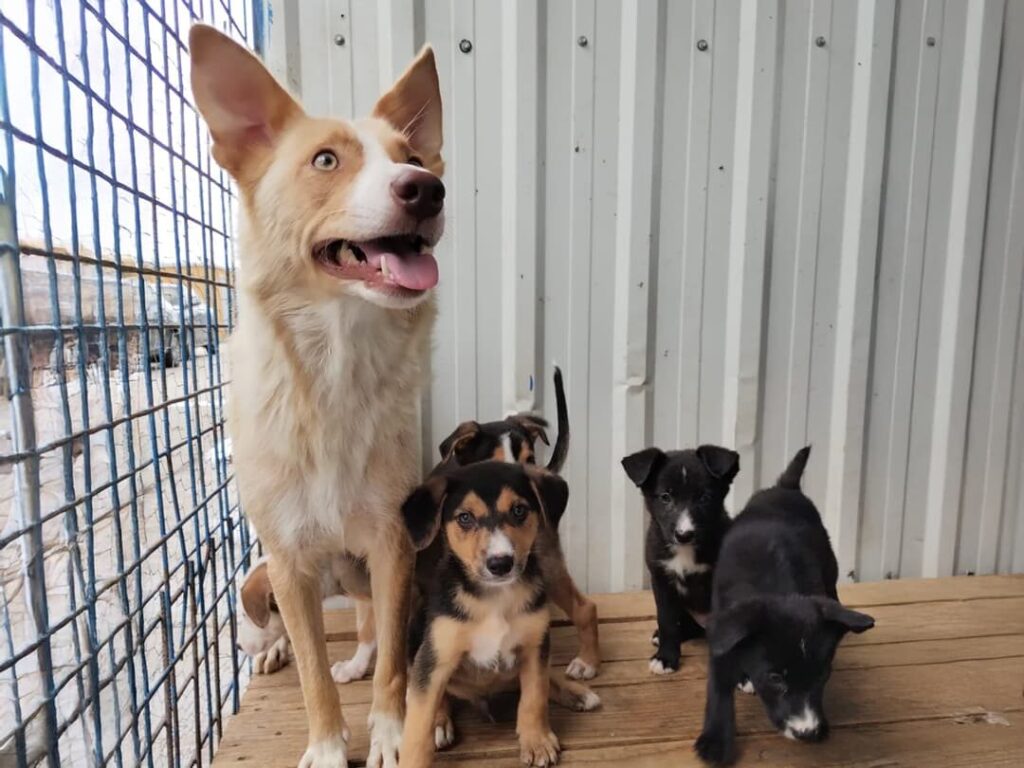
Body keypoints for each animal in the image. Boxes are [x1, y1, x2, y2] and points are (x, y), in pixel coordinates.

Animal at [190, 26, 445, 768]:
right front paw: (330, 747)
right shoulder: (286, 562)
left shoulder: (392, 543)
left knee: (371, 627)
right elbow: (310, 674)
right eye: (325, 160)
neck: (337, 370)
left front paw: (389, 731)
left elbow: (394, 658)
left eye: (411, 157)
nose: (428, 189)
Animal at [399, 461, 598, 768]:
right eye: (465, 518)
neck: (495, 598)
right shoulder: (436, 656)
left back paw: (576, 692)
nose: (500, 564)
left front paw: (537, 741)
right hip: (415, 636)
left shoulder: (534, 646)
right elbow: (418, 725)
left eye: (518, 510)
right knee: (429, 693)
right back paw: (440, 722)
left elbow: (534, 696)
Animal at [622, 445, 739, 675]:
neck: (685, 551)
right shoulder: (661, 579)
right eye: (665, 497)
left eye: (705, 497)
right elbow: (667, 620)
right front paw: (666, 658)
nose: (684, 535)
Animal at [695, 447, 875, 764]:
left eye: (823, 674)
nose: (808, 733)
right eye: (775, 678)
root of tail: (785, 487)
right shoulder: (721, 630)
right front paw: (716, 741)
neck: (779, 589)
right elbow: (718, 688)